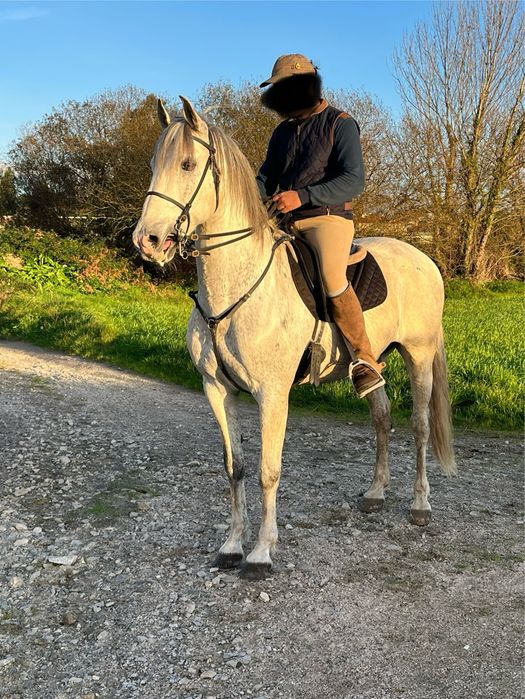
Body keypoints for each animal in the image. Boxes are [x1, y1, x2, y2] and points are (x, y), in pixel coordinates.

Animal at [132, 96, 456, 580]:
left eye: (187, 164)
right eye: (155, 164)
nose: (147, 241)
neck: (236, 288)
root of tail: (424, 258)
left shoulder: (272, 394)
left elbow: (268, 469)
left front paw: (261, 553)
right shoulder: (217, 390)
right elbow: (235, 466)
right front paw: (232, 545)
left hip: (417, 357)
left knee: (418, 425)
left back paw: (419, 504)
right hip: (374, 360)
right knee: (382, 418)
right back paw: (375, 494)